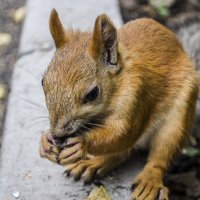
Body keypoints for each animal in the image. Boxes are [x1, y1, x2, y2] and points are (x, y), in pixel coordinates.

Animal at [38, 9, 198, 200]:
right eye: (43, 81)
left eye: (92, 93)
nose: (57, 135)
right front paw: (45, 141)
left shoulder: (138, 96)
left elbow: (124, 132)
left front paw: (81, 143)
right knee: (122, 152)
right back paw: (94, 162)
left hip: (177, 119)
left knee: (159, 155)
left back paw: (149, 181)